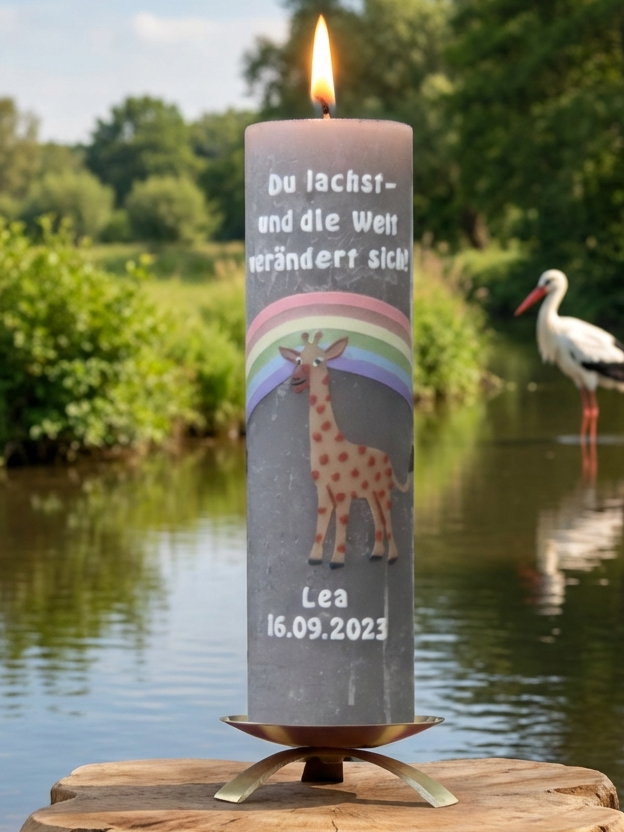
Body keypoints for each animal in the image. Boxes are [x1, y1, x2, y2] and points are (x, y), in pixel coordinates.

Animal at [279, 331, 410, 568]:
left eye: (318, 361)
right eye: (298, 360)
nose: (296, 380)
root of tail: (387, 459)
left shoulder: (342, 492)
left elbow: (341, 522)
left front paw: (337, 560)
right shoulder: (323, 489)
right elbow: (322, 521)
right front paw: (315, 557)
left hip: (383, 490)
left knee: (387, 518)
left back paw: (392, 557)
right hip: (369, 493)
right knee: (377, 518)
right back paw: (376, 554)